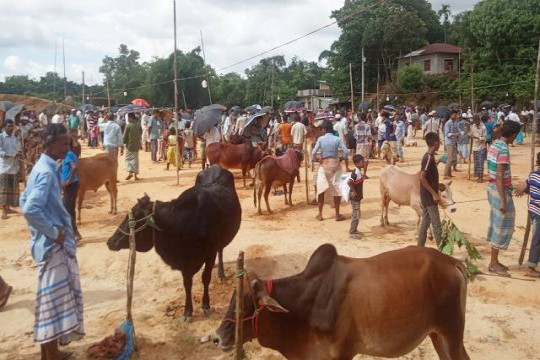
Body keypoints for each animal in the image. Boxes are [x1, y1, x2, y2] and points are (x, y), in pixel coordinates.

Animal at [107, 166, 240, 320]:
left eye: (134, 220)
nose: (110, 241)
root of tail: (215, 167)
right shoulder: (184, 264)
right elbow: (187, 284)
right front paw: (187, 311)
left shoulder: (209, 254)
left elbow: (205, 278)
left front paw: (206, 305)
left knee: (221, 250)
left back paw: (221, 274)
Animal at [211, 243, 468, 358]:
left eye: (246, 306)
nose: (216, 338)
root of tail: (452, 262)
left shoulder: (342, 354)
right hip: (436, 335)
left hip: (451, 333)